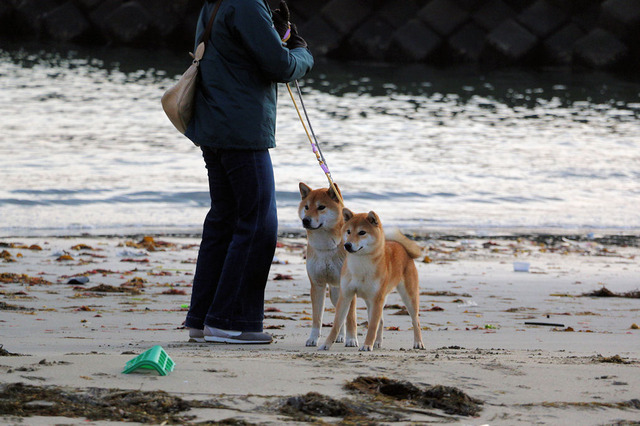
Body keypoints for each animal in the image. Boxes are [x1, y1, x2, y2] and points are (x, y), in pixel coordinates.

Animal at [298, 182, 358, 346]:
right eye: (306, 207)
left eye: (321, 207)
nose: (305, 220)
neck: (325, 246)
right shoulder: (317, 285)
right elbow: (317, 317)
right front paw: (313, 338)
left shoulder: (350, 287)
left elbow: (351, 318)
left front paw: (352, 339)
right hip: (335, 294)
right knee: (339, 315)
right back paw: (339, 336)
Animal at [318, 210, 424, 352]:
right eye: (348, 231)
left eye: (362, 232)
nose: (347, 245)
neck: (360, 264)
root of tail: (402, 247)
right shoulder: (345, 295)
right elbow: (336, 324)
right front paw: (326, 344)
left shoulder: (377, 299)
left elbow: (372, 326)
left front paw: (367, 345)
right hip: (371, 301)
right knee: (381, 321)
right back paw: (378, 342)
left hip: (407, 297)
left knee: (415, 321)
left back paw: (418, 342)